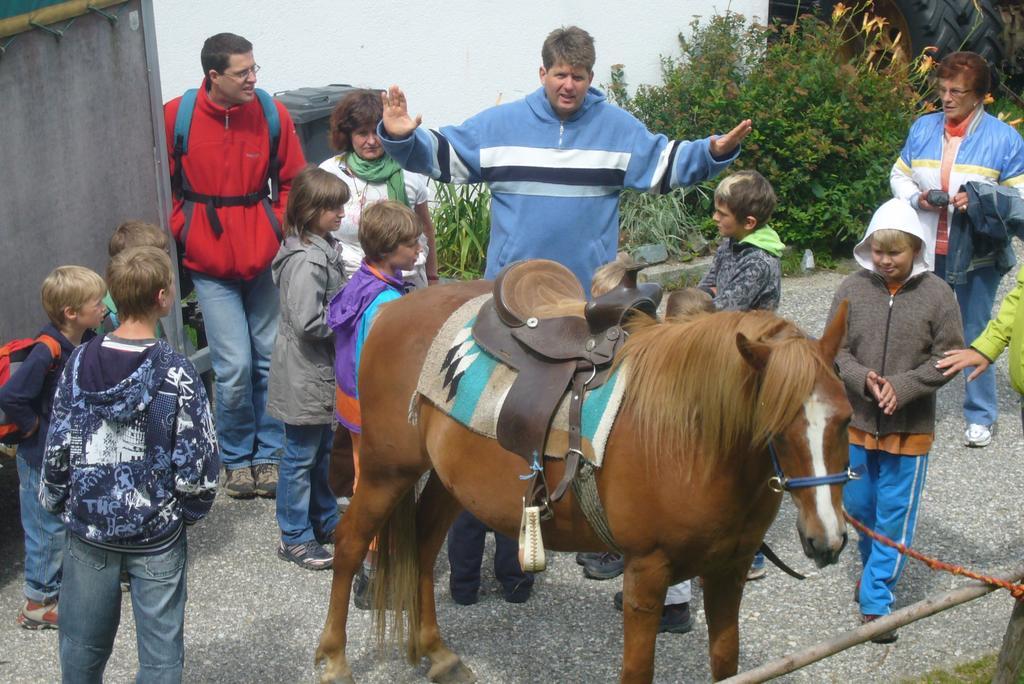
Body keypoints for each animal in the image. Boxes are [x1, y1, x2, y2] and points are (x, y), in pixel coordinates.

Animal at [315, 280, 851, 679]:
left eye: (847, 419)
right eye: (775, 427)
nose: (826, 539)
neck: (687, 435)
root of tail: (393, 309)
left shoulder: (730, 569)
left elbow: (727, 663)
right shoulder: (647, 572)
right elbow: (637, 672)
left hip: (450, 483)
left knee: (423, 549)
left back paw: (438, 654)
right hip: (385, 471)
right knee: (350, 543)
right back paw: (335, 659)